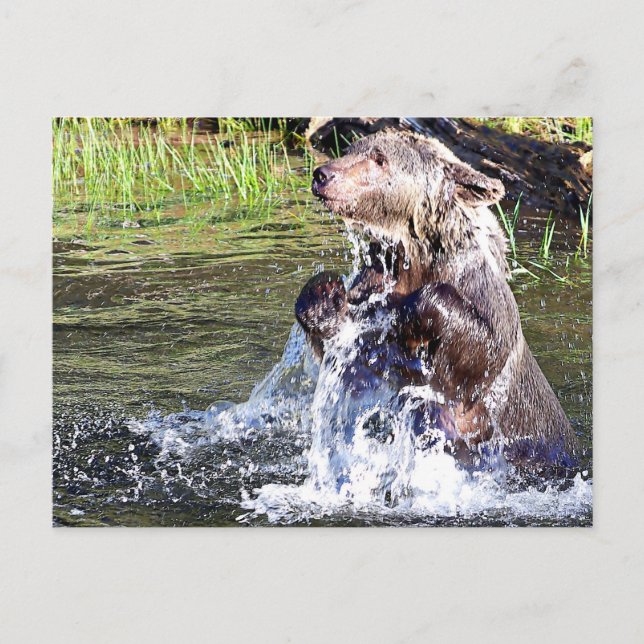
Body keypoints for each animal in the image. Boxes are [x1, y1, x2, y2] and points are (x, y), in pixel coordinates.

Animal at [295, 129, 579, 473]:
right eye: (351, 149)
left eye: (379, 158)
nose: (323, 175)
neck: (416, 262)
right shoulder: (373, 293)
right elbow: (354, 361)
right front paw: (324, 295)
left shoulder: (483, 305)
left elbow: (482, 345)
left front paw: (407, 315)